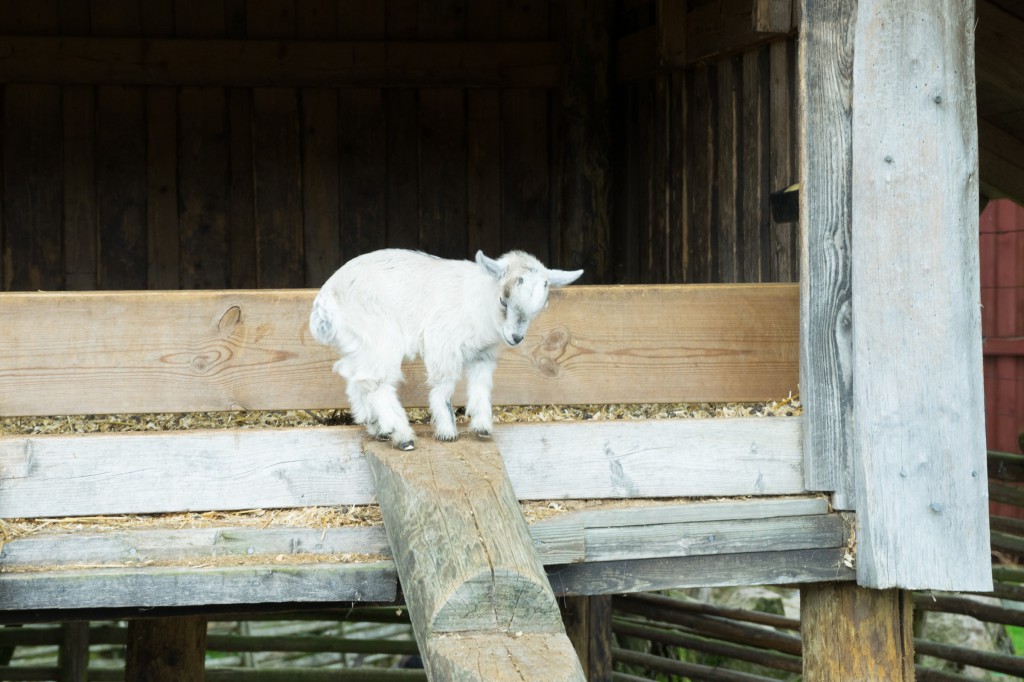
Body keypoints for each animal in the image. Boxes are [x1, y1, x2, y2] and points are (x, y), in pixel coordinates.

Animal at [309, 246, 585, 448]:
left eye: (539, 308)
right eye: (503, 300)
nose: (516, 337)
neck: (477, 301)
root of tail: (325, 299)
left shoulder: (483, 355)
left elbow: (481, 386)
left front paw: (482, 427)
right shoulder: (443, 344)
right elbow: (444, 385)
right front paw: (447, 432)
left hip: (358, 343)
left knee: (355, 379)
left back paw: (377, 426)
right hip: (381, 335)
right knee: (375, 382)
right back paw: (401, 435)